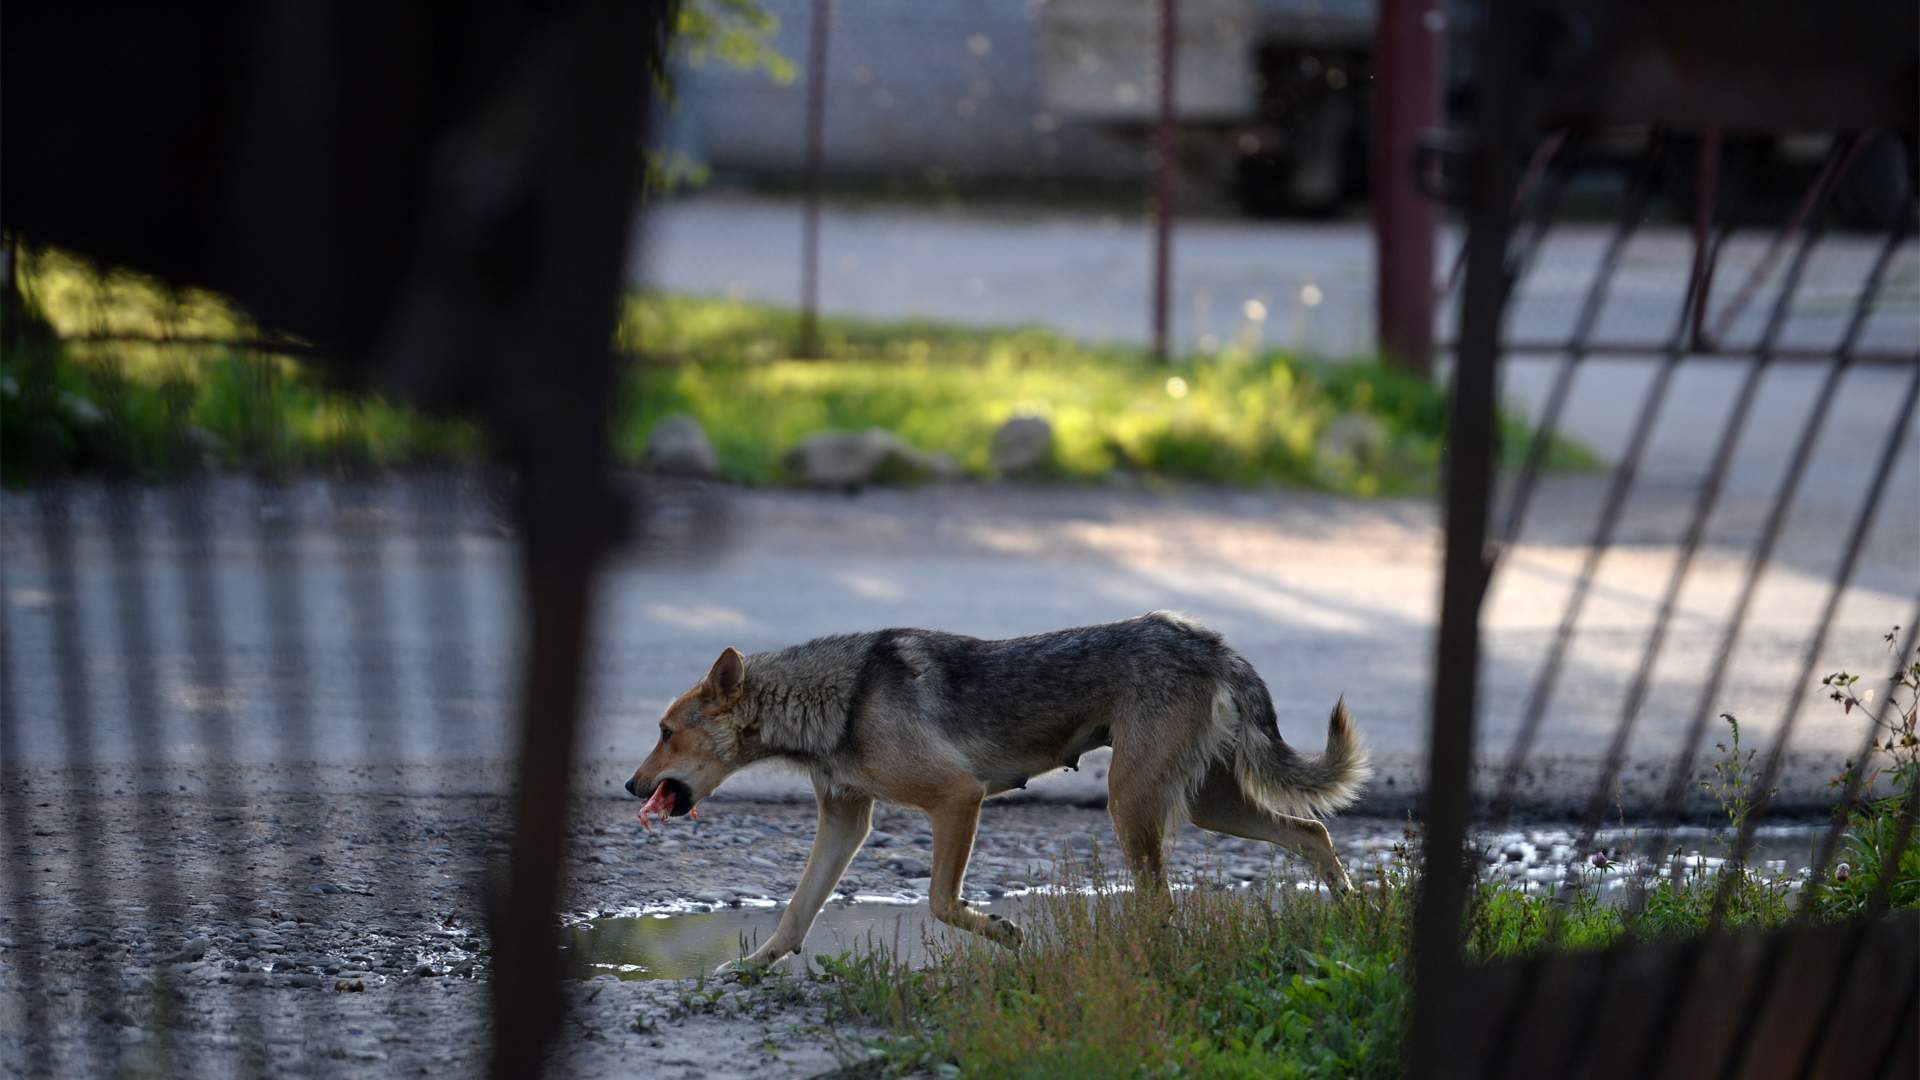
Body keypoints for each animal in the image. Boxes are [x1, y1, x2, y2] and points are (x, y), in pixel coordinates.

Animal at [625, 611, 1367, 972]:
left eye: (665, 732)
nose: (630, 785)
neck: (838, 696)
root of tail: (1210, 641)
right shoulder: (844, 823)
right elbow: (793, 916)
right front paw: (745, 972)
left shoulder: (958, 797)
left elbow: (941, 902)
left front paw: (1006, 934)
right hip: (1209, 804)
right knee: (1314, 832)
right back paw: (1354, 916)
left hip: (1132, 804)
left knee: (1164, 901)